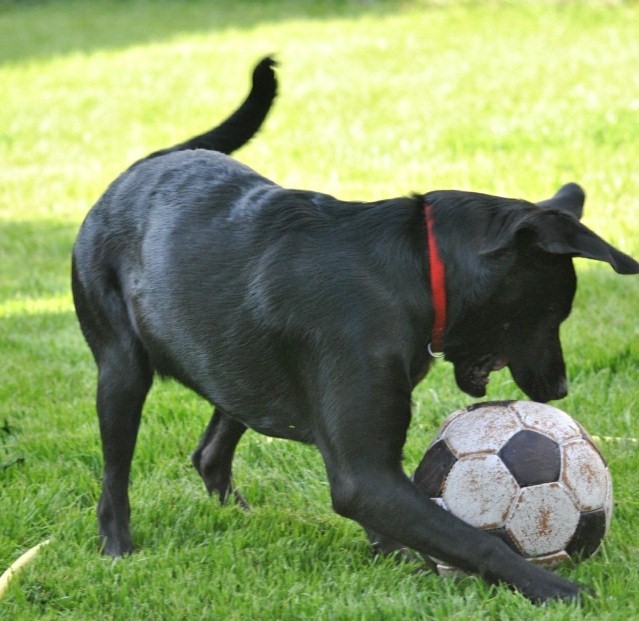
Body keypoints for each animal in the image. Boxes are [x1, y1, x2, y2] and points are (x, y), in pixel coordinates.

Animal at [72, 57, 636, 600]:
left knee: (209, 453)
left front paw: (401, 560)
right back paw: (117, 547)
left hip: (234, 362)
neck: (415, 271)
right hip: (122, 372)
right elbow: (476, 539)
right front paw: (556, 589)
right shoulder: (364, 474)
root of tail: (145, 164)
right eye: (552, 312)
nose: (559, 389)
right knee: (115, 477)